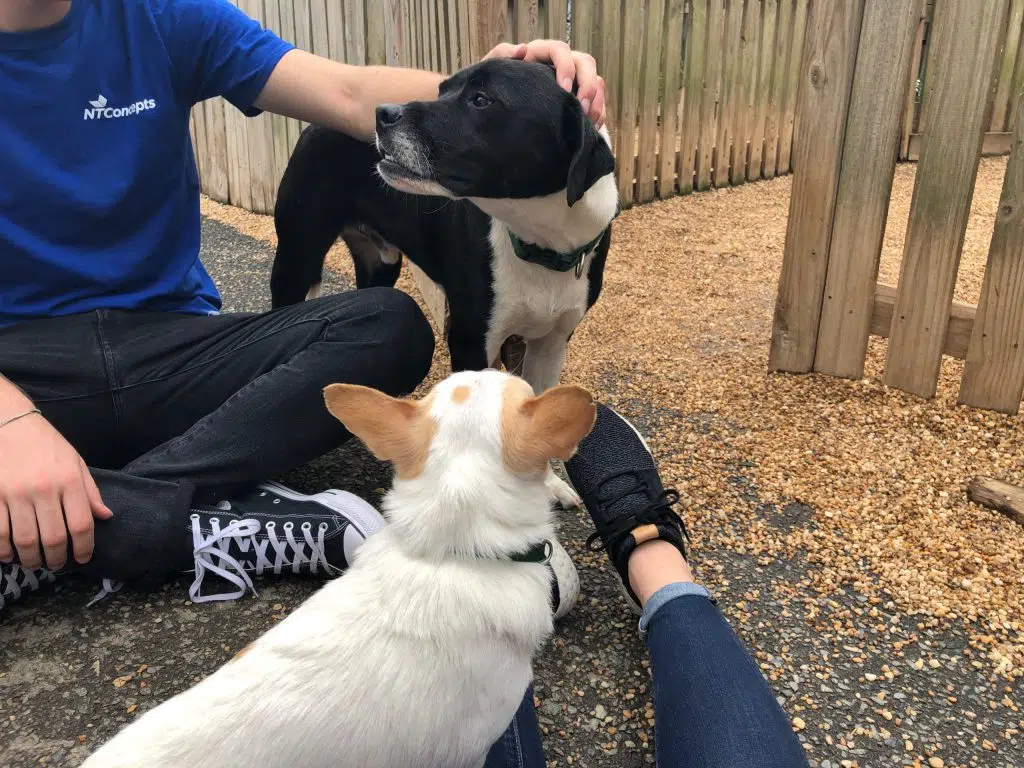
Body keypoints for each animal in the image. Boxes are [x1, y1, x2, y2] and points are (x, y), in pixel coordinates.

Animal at [270, 60, 614, 501]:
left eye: (481, 99)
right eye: (442, 89)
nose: (383, 113)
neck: (539, 242)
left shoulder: (551, 344)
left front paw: (548, 484)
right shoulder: (471, 339)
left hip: (381, 266)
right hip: (297, 258)